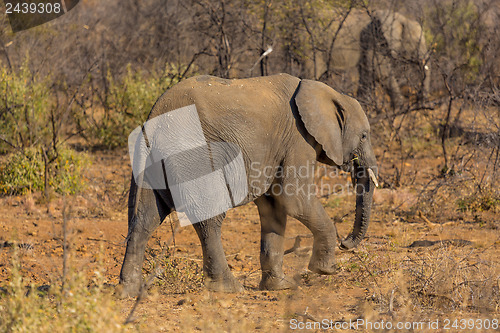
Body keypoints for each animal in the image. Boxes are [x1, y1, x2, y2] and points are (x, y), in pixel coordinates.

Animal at [115, 73, 376, 296]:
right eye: (364, 135)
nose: (345, 243)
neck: (322, 90)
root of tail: (153, 118)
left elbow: (274, 205)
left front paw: (280, 287)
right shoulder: (298, 140)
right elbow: (293, 199)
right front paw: (325, 270)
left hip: (149, 159)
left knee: (144, 218)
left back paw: (129, 291)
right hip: (194, 157)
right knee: (209, 218)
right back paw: (229, 288)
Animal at [300, 8, 430, 107]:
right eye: (416, 42)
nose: (421, 102)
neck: (402, 18)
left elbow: (367, 74)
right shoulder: (374, 39)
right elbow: (380, 72)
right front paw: (400, 108)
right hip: (311, 48)